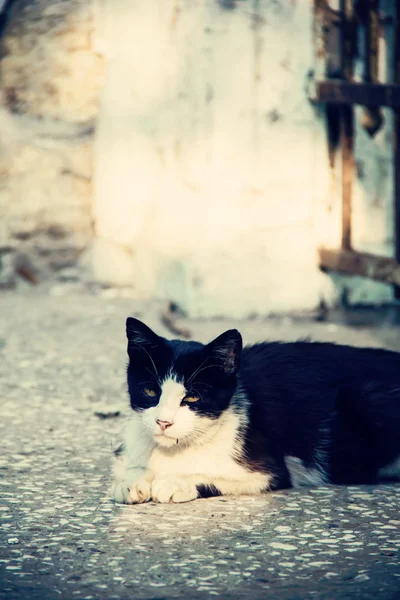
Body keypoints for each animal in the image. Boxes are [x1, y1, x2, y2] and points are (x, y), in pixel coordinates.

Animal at [111, 316, 400, 504]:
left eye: (192, 396)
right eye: (150, 391)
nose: (163, 422)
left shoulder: (272, 467)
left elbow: (224, 477)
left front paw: (177, 481)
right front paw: (130, 481)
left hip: (366, 400)